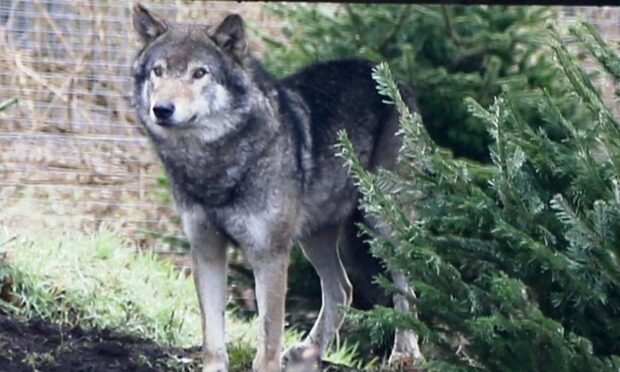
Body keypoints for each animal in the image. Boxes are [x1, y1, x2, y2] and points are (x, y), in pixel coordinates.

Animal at [130, 3, 422, 372]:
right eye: (158, 71)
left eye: (200, 73)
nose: (163, 109)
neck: (217, 164)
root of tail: (393, 78)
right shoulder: (206, 249)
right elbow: (212, 337)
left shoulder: (269, 255)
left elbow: (268, 339)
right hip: (316, 236)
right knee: (342, 289)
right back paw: (307, 353)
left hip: (383, 223)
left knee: (407, 282)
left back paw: (405, 354)